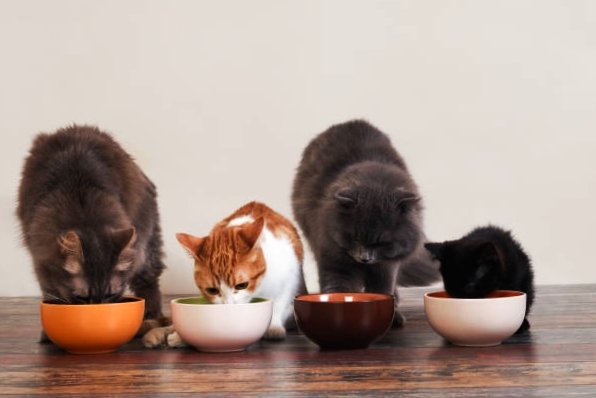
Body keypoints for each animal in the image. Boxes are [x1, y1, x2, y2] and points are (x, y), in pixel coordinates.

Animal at [143, 201, 304, 346]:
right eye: (212, 290)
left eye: (241, 285)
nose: (227, 306)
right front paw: (179, 336)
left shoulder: (289, 277)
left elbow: (279, 303)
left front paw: (273, 326)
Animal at [292, 119, 440, 324]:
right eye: (354, 237)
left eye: (382, 242)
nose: (365, 257)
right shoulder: (333, 256)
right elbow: (338, 287)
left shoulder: (386, 265)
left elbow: (382, 288)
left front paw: (392, 315)